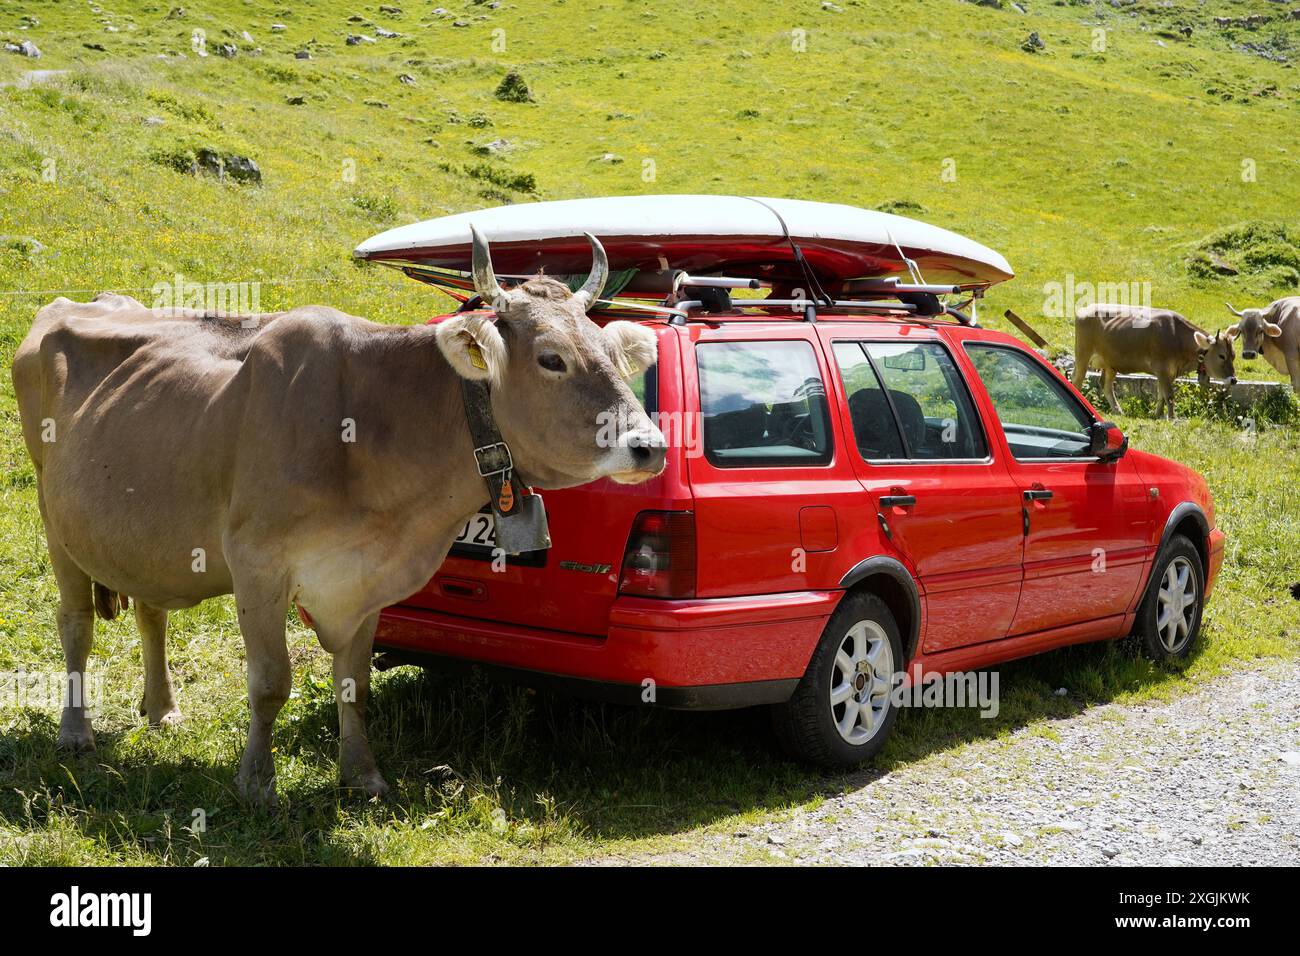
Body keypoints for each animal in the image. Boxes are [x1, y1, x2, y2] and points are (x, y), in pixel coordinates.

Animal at [11, 228, 666, 806]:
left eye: (614, 355)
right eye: (552, 359)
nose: (650, 445)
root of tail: (84, 301)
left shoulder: (367, 576)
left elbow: (356, 687)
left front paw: (363, 778)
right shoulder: (256, 562)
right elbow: (270, 682)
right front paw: (257, 784)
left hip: (144, 537)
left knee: (150, 611)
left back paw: (163, 708)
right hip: (52, 515)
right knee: (75, 622)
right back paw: (75, 731)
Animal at [1072, 303, 1237, 419]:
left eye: (1233, 355)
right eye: (1222, 356)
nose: (1233, 380)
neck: (1177, 336)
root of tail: (1086, 308)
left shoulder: (1167, 372)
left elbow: (1161, 394)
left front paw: (1157, 415)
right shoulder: (1162, 367)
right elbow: (1169, 394)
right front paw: (1172, 418)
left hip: (1110, 363)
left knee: (1106, 385)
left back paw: (1118, 411)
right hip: (1082, 354)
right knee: (1077, 380)